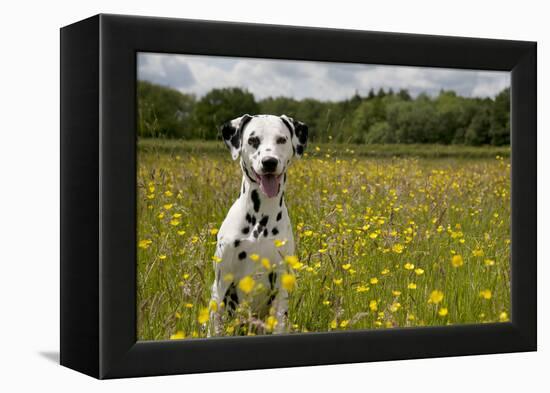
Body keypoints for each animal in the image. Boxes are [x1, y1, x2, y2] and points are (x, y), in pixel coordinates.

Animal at [209, 112, 308, 334]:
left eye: (281, 139)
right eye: (253, 140)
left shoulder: (280, 286)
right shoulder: (222, 285)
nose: (269, 162)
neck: (260, 222)